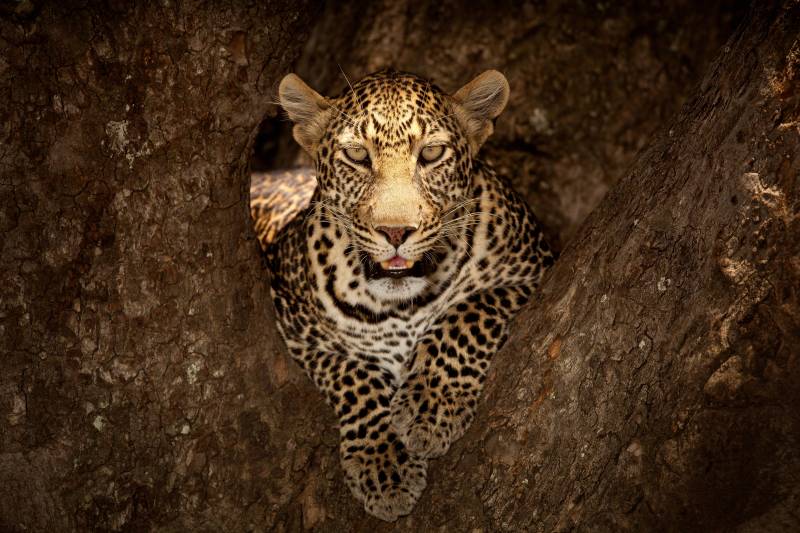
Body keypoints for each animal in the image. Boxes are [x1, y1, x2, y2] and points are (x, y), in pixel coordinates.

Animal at [252, 68, 554, 521]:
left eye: (431, 153)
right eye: (357, 156)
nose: (395, 233)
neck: (401, 306)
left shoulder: (534, 269)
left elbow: (467, 313)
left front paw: (431, 406)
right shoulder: (295, 329)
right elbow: (353, 374)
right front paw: (384, 464)